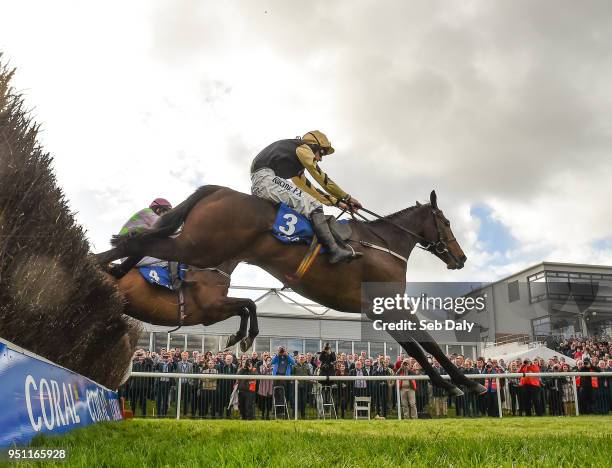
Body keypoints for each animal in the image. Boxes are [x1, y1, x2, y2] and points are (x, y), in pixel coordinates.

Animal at [100, 258, 258, 352]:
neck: (211, 270)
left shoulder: (214, 313)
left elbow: (244, 309)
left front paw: (238, 338)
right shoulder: (213, 307)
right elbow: (250, 304)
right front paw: (249, 337)